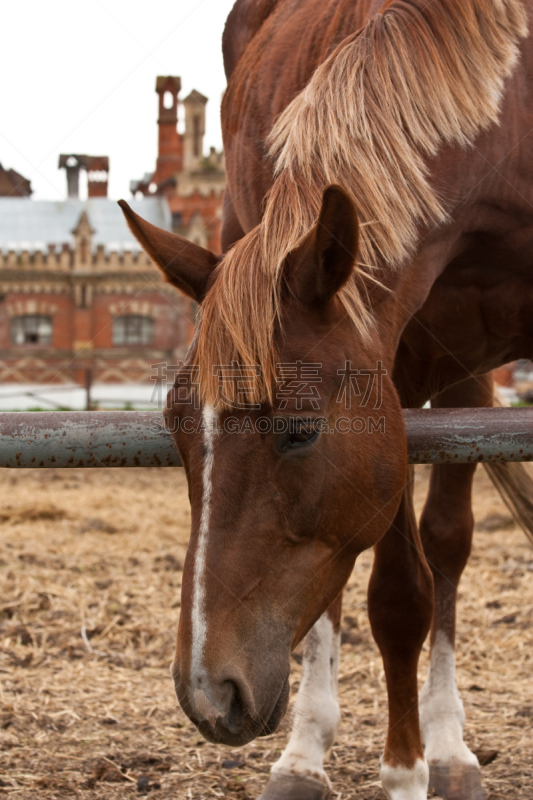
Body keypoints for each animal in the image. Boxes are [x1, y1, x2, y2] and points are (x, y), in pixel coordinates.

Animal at [118, 3, 532, 796]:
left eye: (301, 428)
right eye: (176, 431)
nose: (209, 693)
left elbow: (416, 579)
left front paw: (416, 764)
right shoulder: (390, 367)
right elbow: (394, 597)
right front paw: (399, 771)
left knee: (446, 543)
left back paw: (448, 748)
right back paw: (306, 754)